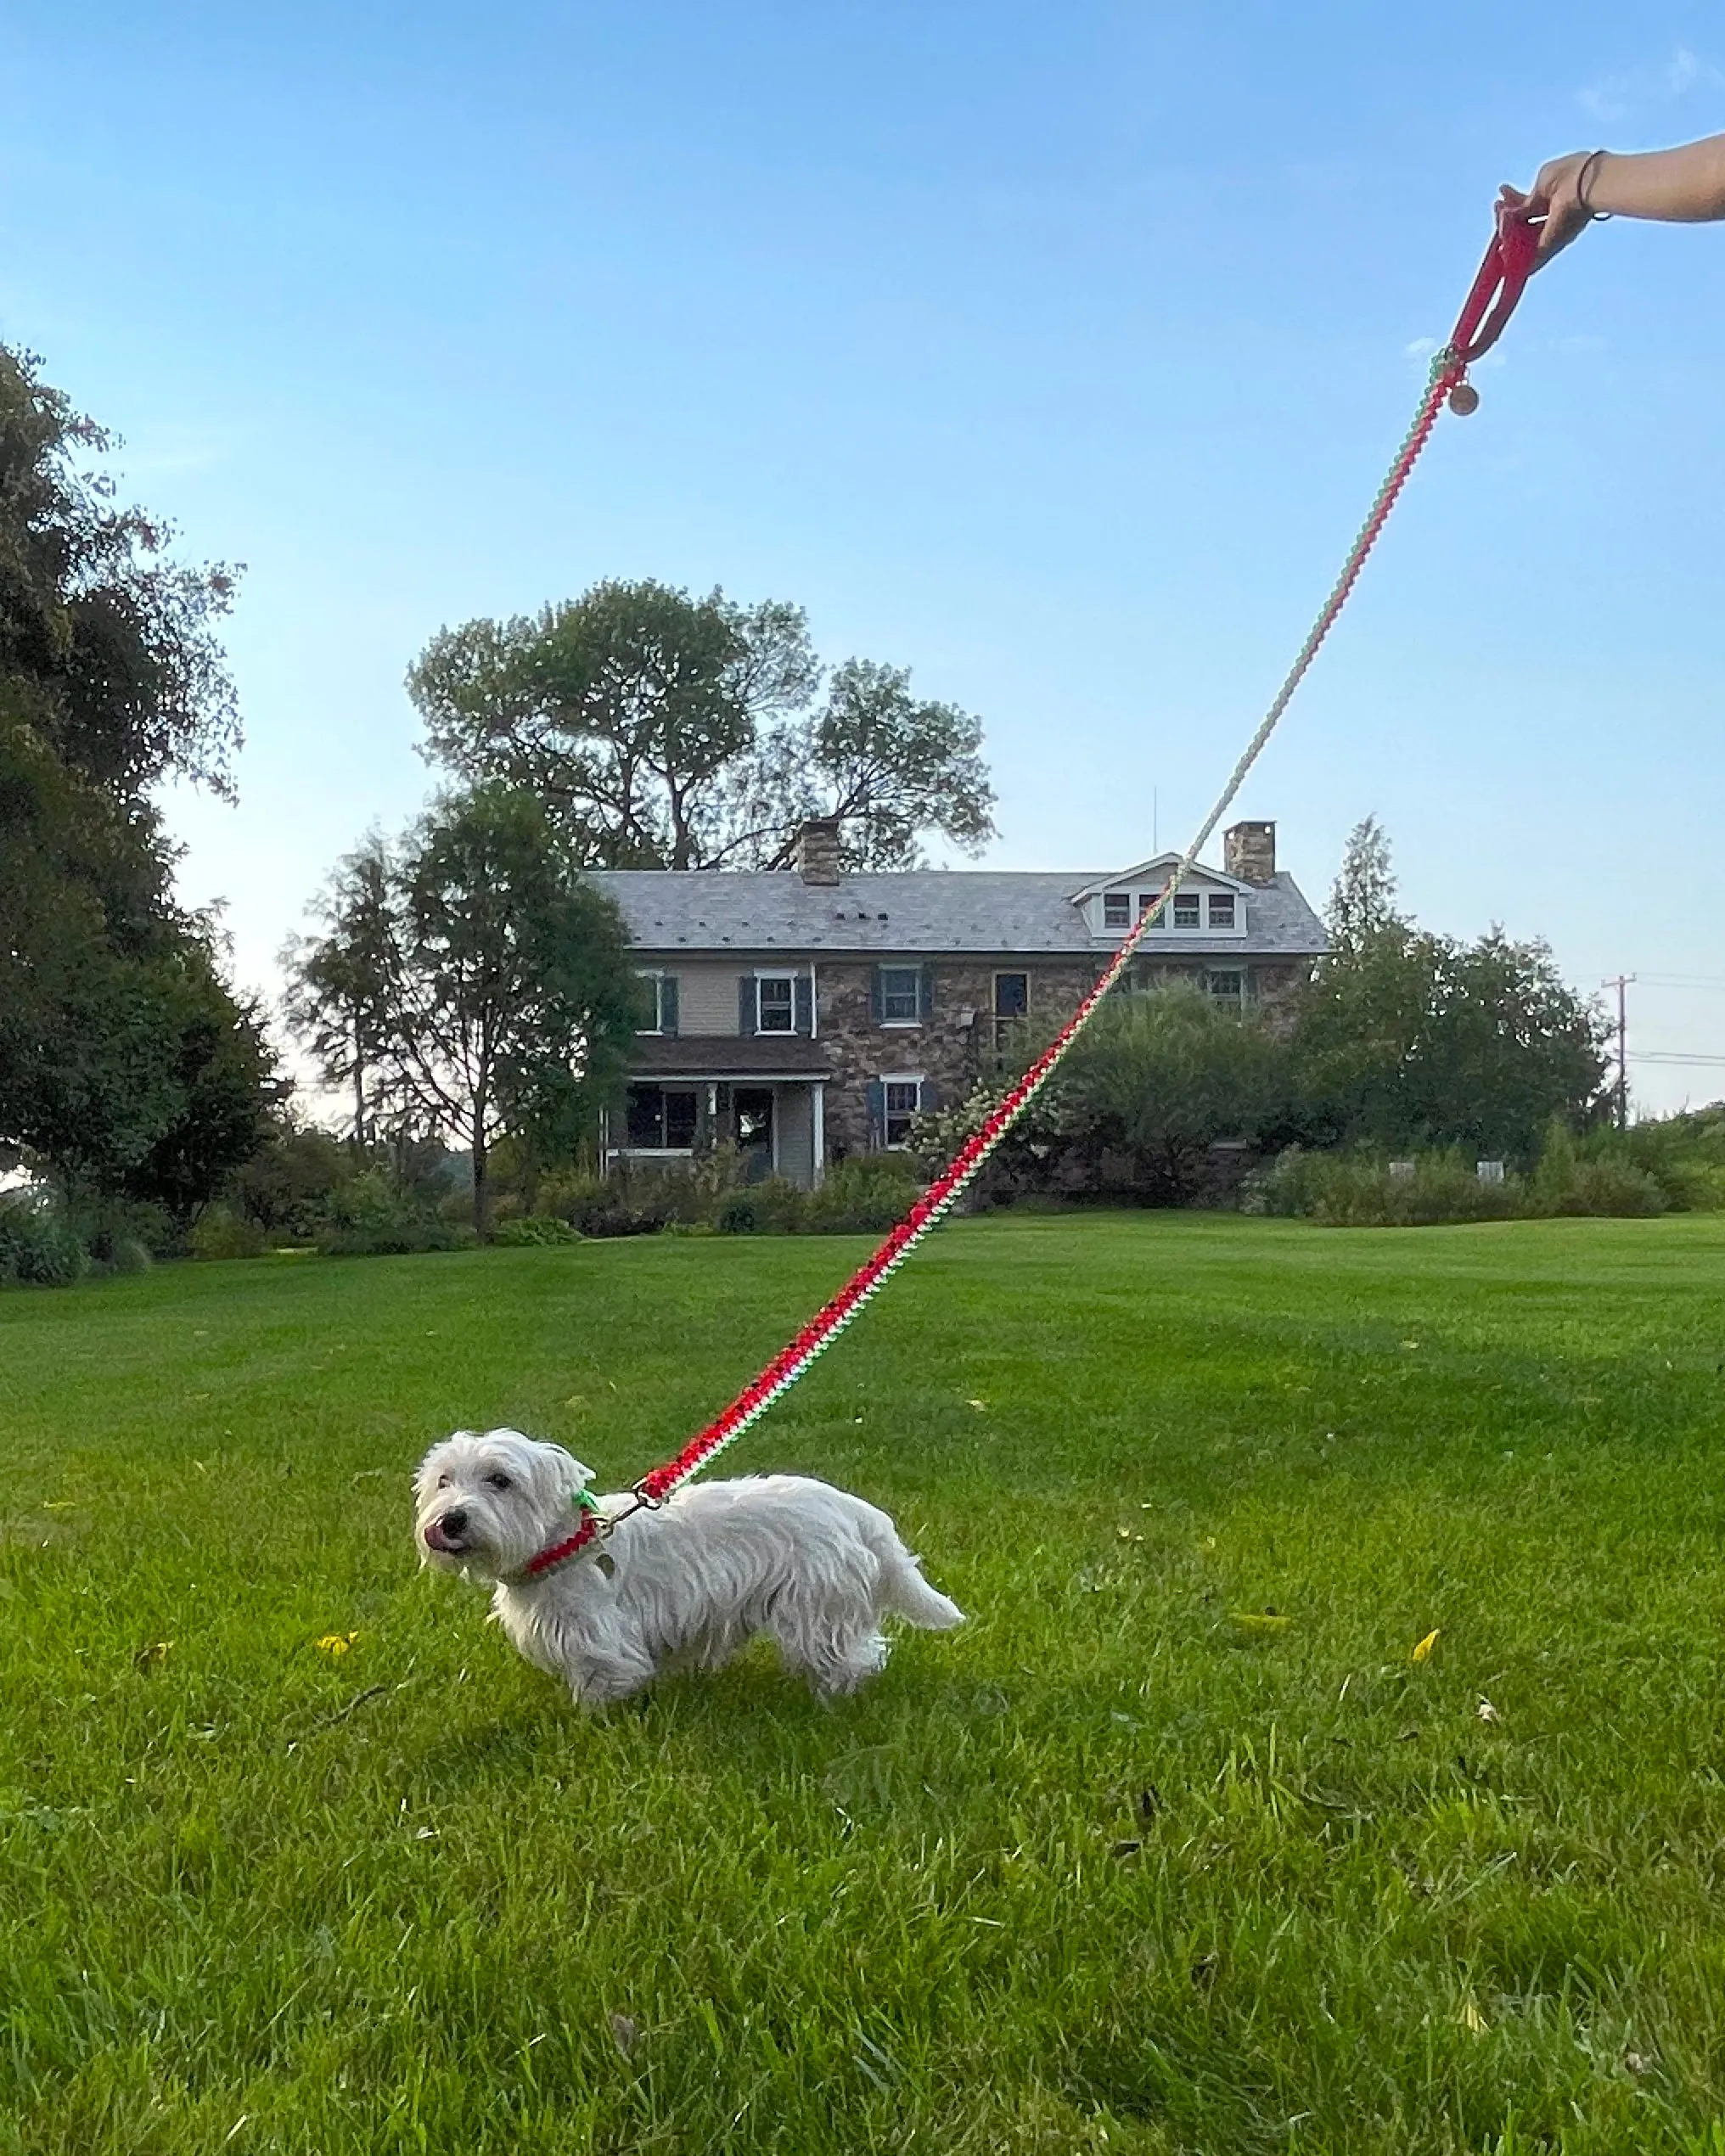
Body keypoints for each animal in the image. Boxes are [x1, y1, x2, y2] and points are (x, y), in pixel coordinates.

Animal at [412, 1423, 961, 1707]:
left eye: (500, 1480)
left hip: (817, 1605)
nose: (450, 1521)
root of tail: (855, 1511)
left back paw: (834, 1701)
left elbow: (603, 1685)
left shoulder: (600, 1643)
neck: (562, 1546)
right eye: (444, 1480)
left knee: (852, 1656)